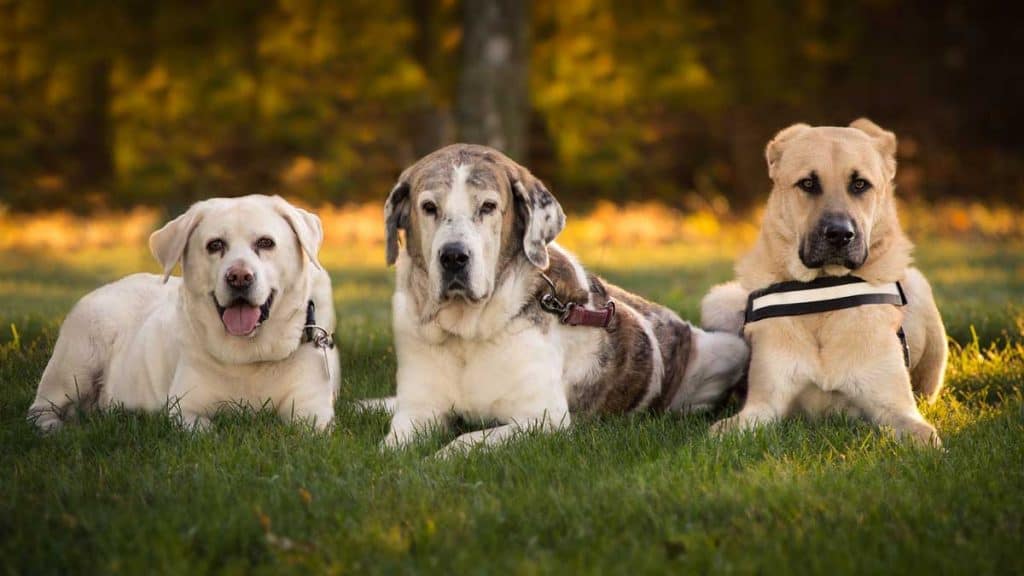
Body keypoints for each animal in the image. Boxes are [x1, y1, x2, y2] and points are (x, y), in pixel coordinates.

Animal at [704, 119, 942, 444]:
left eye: (860, 184)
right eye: (808, 184)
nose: (839, 234)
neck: (824, 290)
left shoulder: (896, 408)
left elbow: (926, 438)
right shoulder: (761, 408)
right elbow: (717, 434)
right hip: (719, 301)